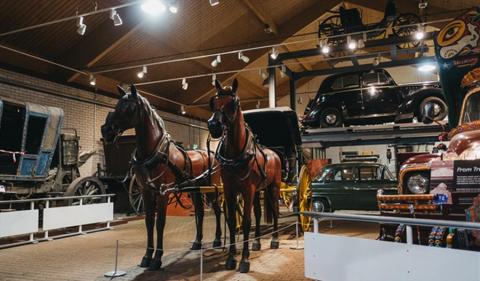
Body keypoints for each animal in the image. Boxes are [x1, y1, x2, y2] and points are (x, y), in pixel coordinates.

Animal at [102, 85, 222, 270]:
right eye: (116, 105)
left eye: (129, 108)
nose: (106, 131)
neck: (153, 152)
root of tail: (209, 154)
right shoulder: (145, 191)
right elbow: (149, 222)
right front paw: (146, 256)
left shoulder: (163, 192)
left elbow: (160, 223)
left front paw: (157, 258)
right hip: (196, 190)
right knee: (200, 213)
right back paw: (197, 242)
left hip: (212, 189)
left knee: (217, 210)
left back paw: (218, 240)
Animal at [206, 78, 282, 272]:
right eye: (214, 102)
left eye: (233, 103)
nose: (214, 126)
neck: (236, 154)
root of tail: (275, 154)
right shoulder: (230, 190)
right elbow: (233, 221)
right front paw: (231, 257)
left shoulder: (247, 190)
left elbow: (246, 221)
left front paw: (244, 259)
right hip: (258, 190)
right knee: (258, 213)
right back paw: (257, 242)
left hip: (273, 187)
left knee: (275, 210)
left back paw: (275, 239)